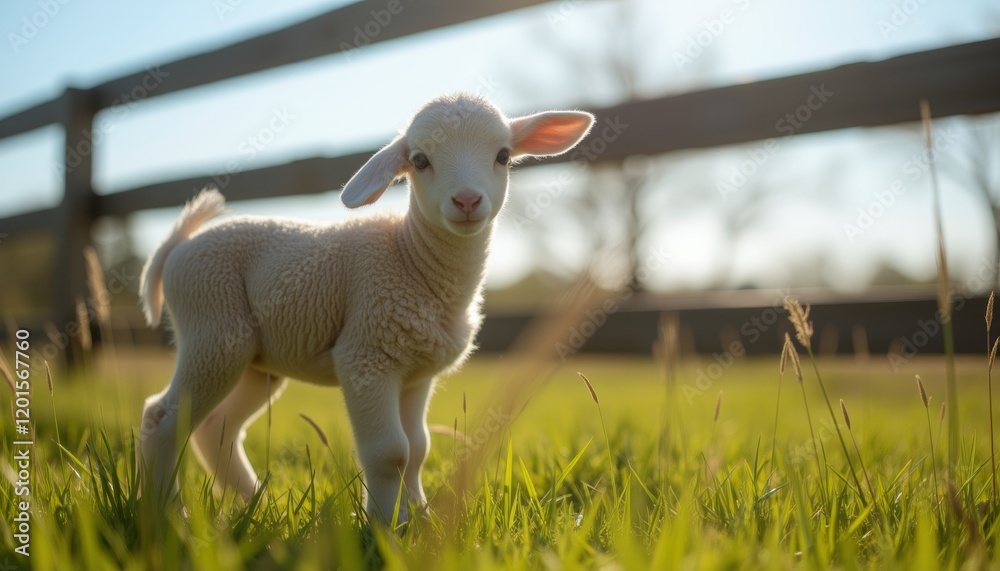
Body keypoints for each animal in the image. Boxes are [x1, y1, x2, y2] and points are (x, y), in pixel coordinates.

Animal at [137, 93, 595, 525]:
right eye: (420, 160)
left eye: (503, 155)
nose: (466, 201)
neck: (411, 259)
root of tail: (178, 245)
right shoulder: (366, 356)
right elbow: (391, 453)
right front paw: (385, 525)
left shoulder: (417, 373)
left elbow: (419, 449)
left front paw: (419, 519)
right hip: (212, 328)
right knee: (162, 417)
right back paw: (168, 513)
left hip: (256, 361)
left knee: (217, 428)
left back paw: (255, 505)